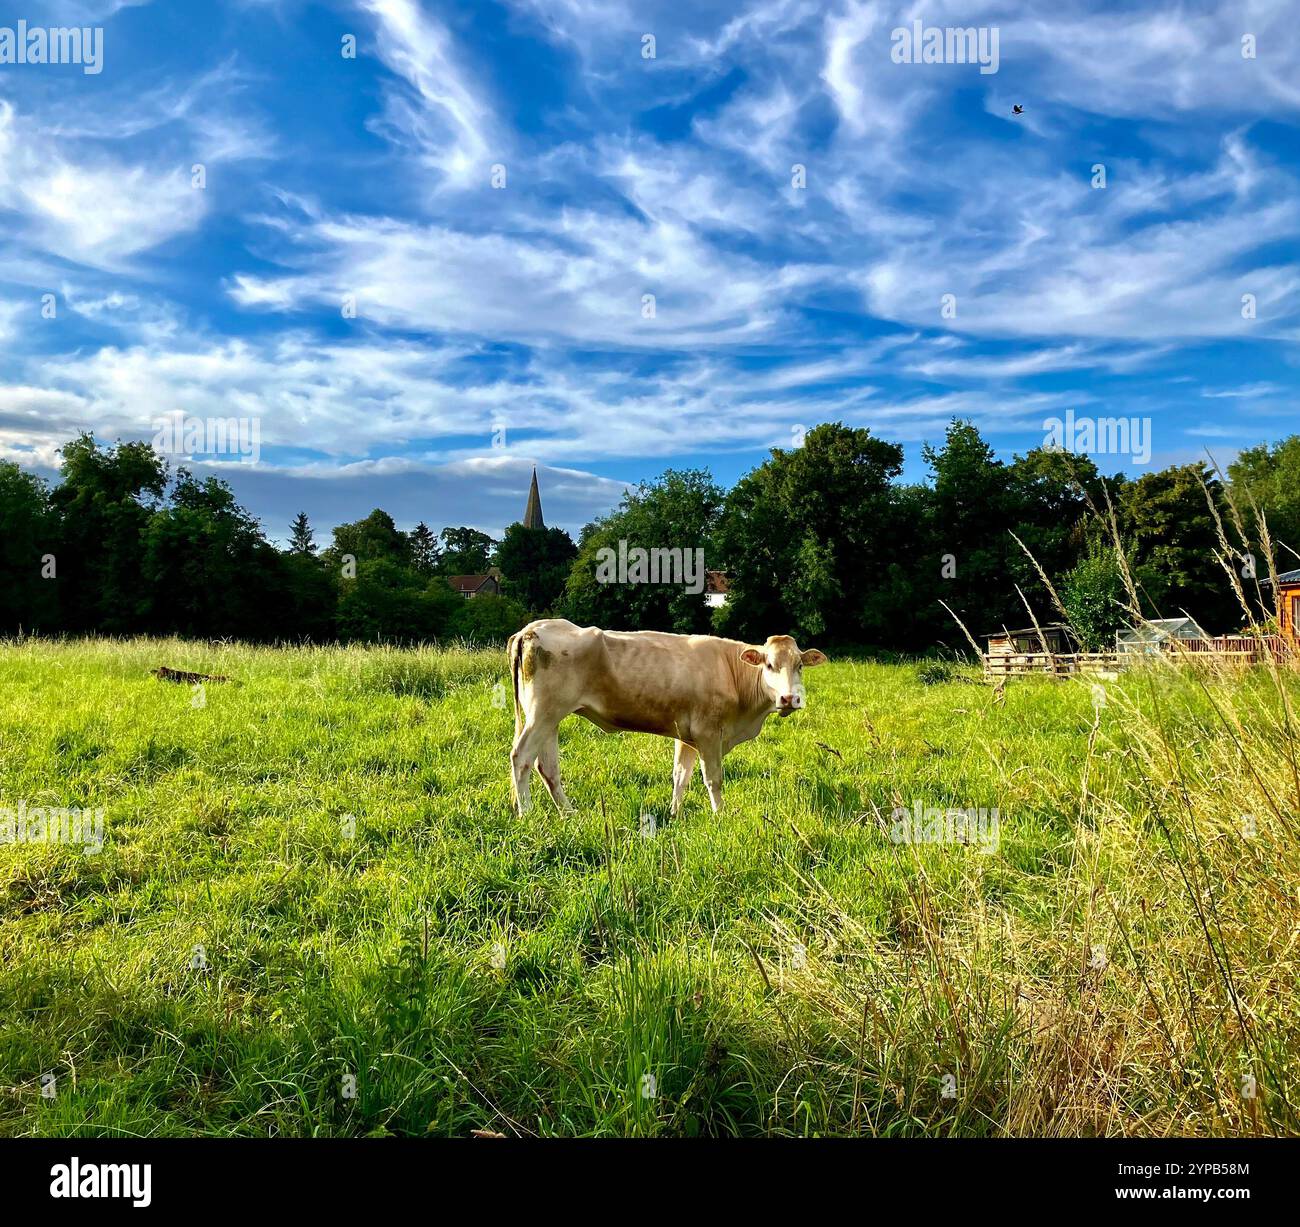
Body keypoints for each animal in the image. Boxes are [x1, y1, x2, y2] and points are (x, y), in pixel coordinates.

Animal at [505, 619, 827, 816]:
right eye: (769, 665)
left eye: (799, 665)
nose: (789, 698)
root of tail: (533, 628)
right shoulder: (708, 733)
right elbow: (713, 778)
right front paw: (720, 815)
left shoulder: (686, 735)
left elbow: (680, 775)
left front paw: (675, 814)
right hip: (542, 714)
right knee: (522, 757)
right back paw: (527, 814)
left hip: (550, 717)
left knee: (547, 767)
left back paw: (569, 813)